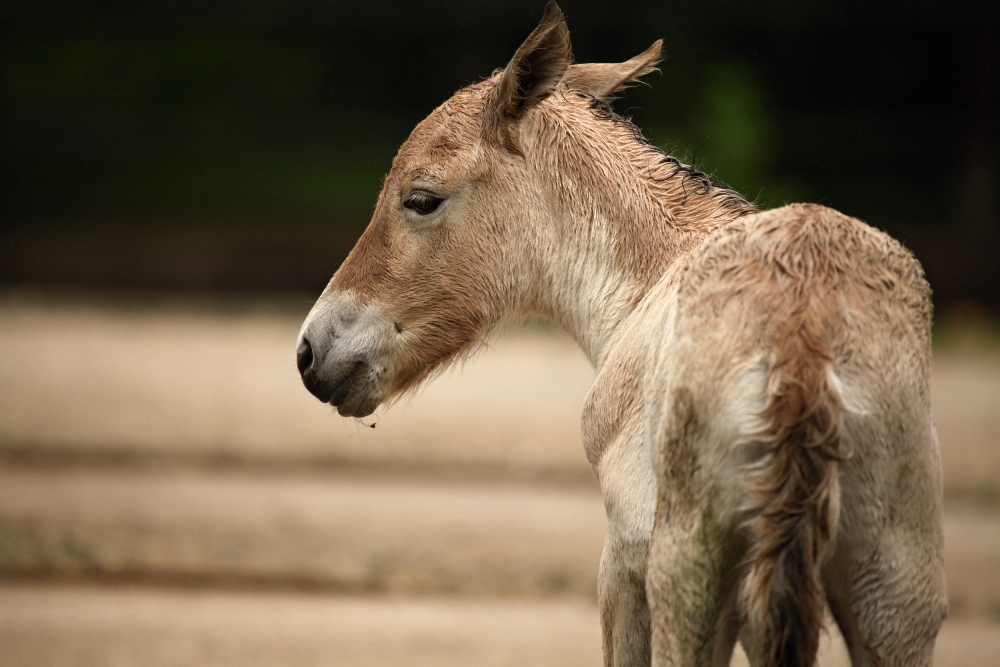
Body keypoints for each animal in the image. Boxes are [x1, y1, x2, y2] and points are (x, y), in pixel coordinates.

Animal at [294, 2, 944, 664]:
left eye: (421, 199)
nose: (312, 351)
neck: (654, 276)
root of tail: (803, 337)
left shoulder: (624, 564)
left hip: (694, 578)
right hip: (892, 590)